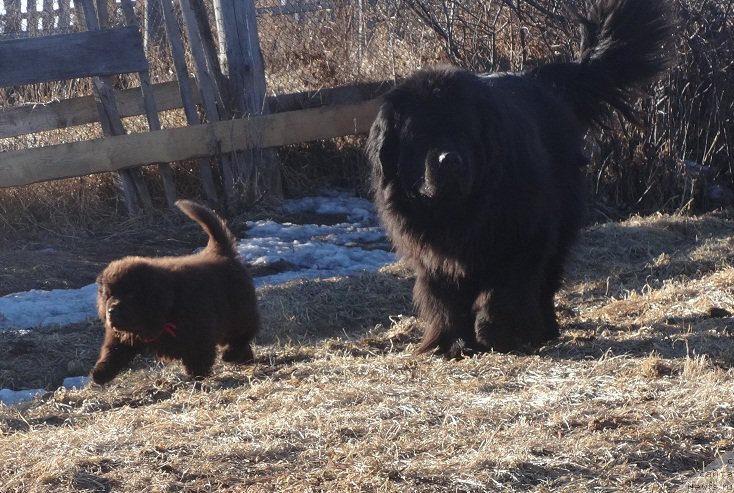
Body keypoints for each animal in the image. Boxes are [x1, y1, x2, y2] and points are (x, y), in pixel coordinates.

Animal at [91, 198, 260, 382]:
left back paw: (230, 355)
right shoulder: (123, 337)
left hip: (239, 313)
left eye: (130, 294)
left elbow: (198, 358)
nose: (111, 311)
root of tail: (221, 252)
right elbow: (112, 353)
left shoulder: (198, 333)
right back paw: (245, 359)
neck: (168, 306)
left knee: (243, 334)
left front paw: (196, 378)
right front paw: (99, 374)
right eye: (108, 296)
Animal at [366, 0, 676, 354]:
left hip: (560, 222)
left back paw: (545, 328)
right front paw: (451, 342)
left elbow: (507, 288)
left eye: (466, 131)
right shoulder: (432, 255)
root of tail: (541, 81)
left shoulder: (525, 234)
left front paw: (498, 334)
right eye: (419, 134)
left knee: (547, 279)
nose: (450, 161)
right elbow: (444, 298)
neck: (458, 213)